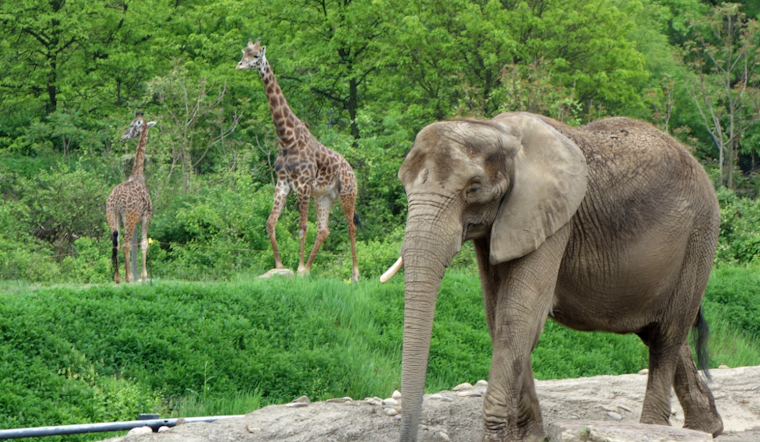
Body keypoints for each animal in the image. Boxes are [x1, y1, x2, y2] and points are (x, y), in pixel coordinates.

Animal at [385, 112, 723, 441]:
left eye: (474, 188)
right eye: (404, 183)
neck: (501, 133)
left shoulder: (553, 218)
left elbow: (518, 316)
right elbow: (498, 317)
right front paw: (531, 437)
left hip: (699, 237)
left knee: (667, 336)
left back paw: (654, 429)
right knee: (662, 332)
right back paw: (707, 428)